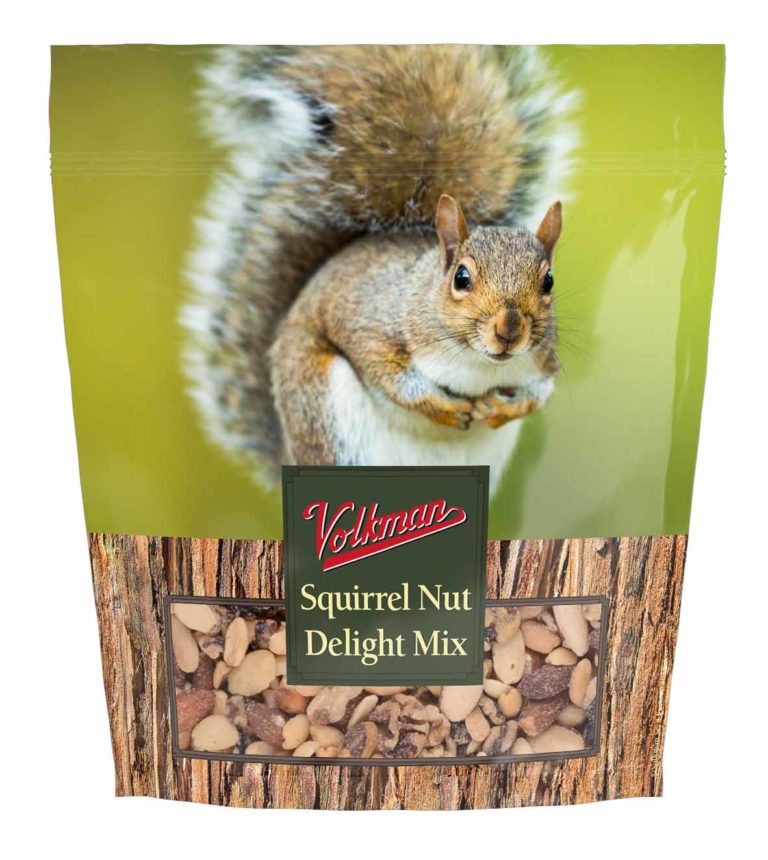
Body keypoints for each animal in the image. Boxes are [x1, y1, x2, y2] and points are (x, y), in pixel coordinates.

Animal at [182, 46, 577, 494]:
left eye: (548, 281)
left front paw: (503, 408)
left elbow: (540, 389)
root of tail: (288, 452)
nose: (509, 330)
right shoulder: (368, 319)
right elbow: (387, 373)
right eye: (461, 278)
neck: (478, 364)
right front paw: (440, 405)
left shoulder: (543, 359)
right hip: (326, 415)